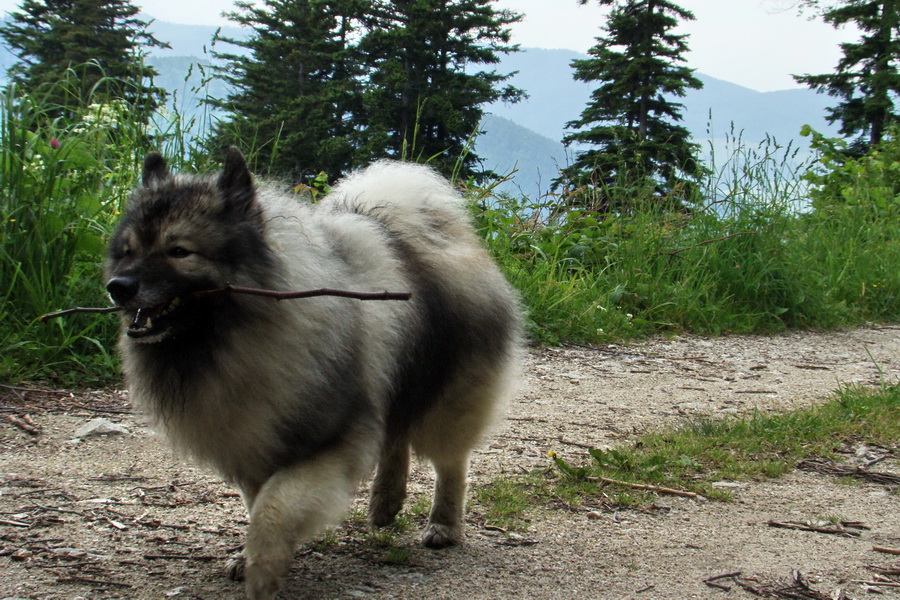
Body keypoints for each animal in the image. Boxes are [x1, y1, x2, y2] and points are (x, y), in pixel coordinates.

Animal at [103, 149, 528, 600]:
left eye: (179, 250)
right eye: (127, 251)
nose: (118, 286)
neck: (232, 338)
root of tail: (444, 234)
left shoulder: (330, 442)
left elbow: (274, 509)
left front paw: (263, 569)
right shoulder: (254, 441)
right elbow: (258, 503)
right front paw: (249, 557)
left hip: (448, 398)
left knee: (450, 461)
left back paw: (444, 525)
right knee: (396, 436)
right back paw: (385, 503)